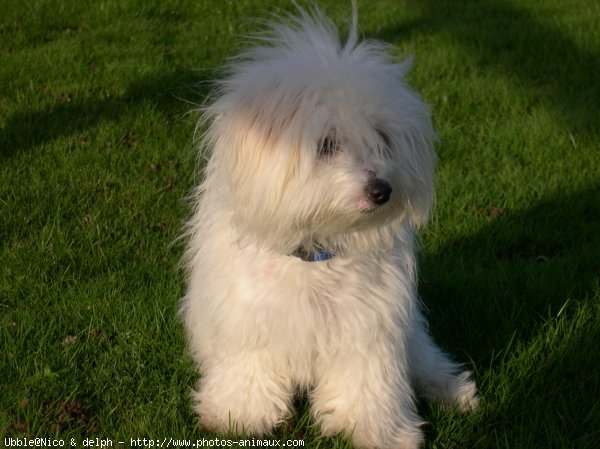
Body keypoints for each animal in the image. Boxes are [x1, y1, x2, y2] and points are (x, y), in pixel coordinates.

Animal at [182, 4, 478, 448]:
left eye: (382, 138)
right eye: (326, 144)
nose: (381, 190)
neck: (314, 255)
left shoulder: (366, 332)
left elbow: (366, 387)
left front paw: (379, 432)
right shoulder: (250, 327)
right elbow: (250, 374)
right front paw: (238, 416)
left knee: (425, 362)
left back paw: (454, 390)